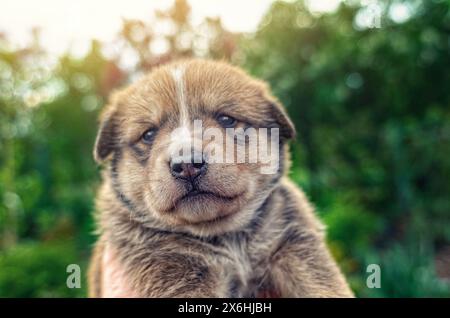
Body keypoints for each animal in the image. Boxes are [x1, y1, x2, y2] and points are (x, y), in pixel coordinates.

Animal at [89, 58, 356, 296]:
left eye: (227, 119)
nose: (187, 164)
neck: (228, 237)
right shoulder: (169, 268)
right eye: (148, 134)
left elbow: (324, 285)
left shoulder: (295, 242)